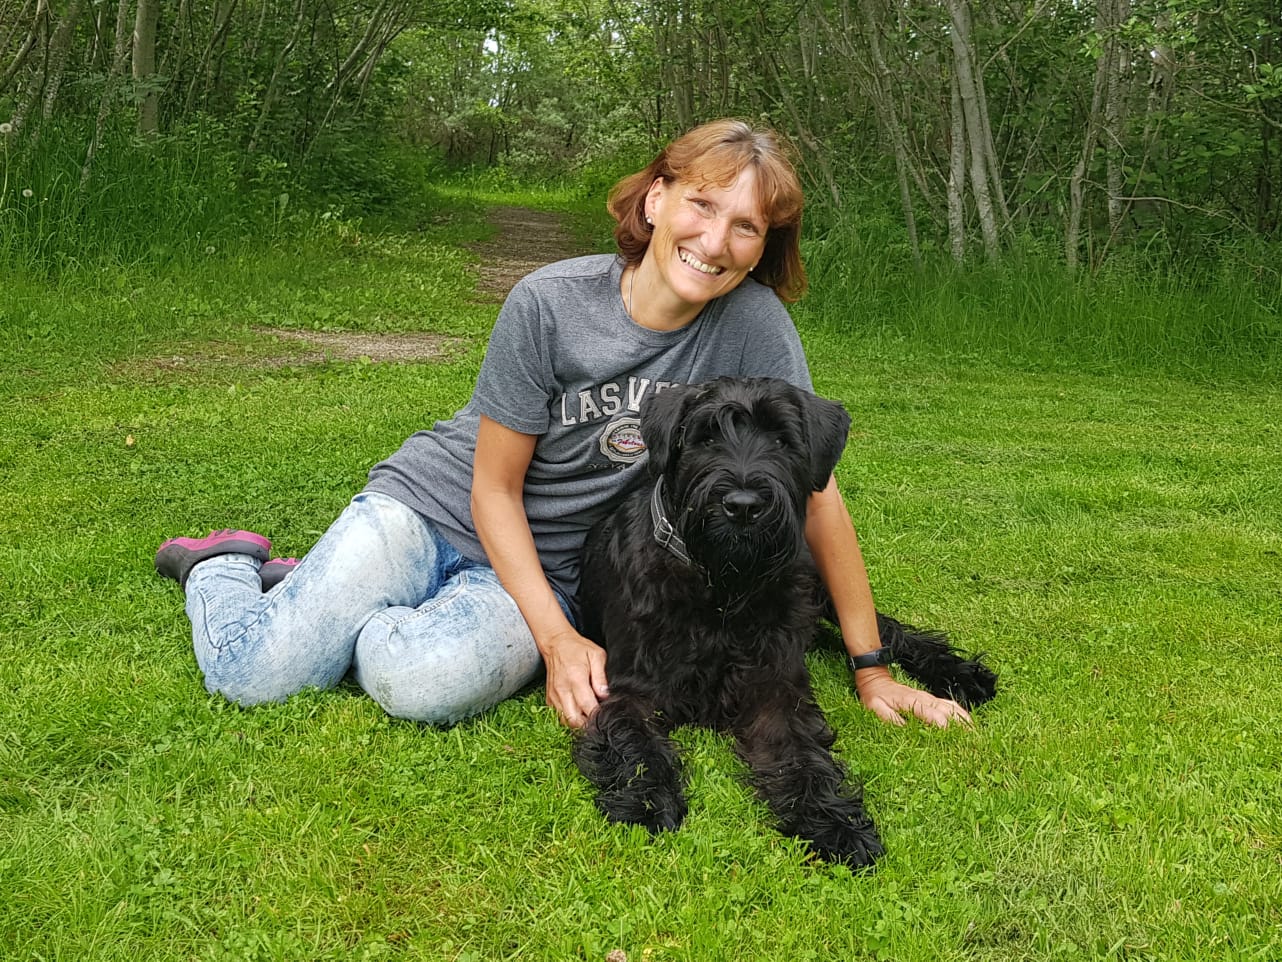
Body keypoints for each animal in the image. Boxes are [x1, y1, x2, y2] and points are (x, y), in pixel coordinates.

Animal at [573, 376, 996, 869]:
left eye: (781, 440)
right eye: (706, 438)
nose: (742, 505)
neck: (722, 589)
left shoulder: (774, 687)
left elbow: (800, 757)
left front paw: (832, 822)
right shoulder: (631, 691)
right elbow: (636, 745)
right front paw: (646, 800)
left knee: (883, 629)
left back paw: (960, 673)